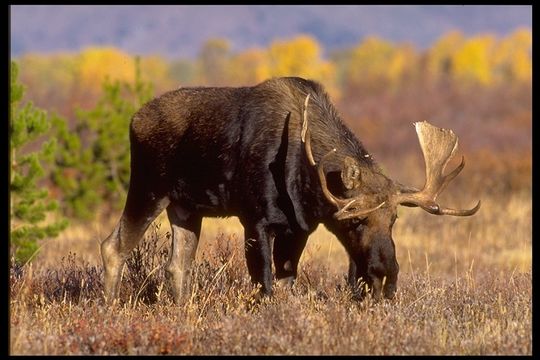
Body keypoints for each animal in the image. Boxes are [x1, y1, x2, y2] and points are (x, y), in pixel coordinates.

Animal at [99, 77, 478, 302]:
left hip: (186, 207)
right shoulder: (255, 220)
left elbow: (285, 282)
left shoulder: (299, 228)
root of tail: (133, 119)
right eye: (354, 220)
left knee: (177, 264)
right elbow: (263, 285)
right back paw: (110, 306)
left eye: (394, 219)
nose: (387, 276)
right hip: (149, 187)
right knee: (113, 245)